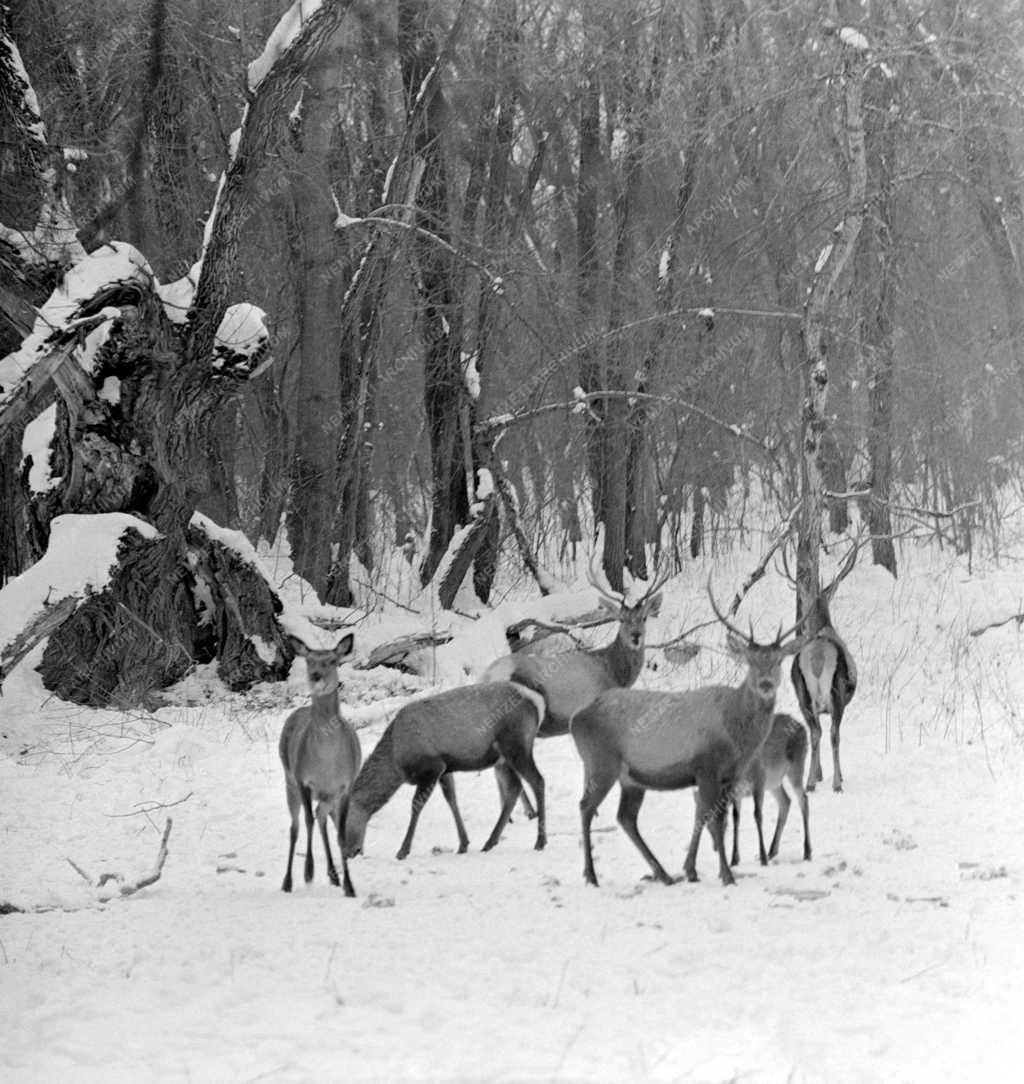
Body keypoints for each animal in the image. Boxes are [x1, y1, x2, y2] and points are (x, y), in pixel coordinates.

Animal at [277, 633, 361, 893]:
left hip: (327, 795)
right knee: (296, 827)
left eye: (333, 661)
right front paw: (308, 872)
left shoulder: (346, 785)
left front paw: (349, 886)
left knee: (321, 817)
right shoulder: (303, 780)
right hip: (289, 781)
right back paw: (288, 881)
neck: (326, 762)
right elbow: (307, 823)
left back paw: (334, 875)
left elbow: (340, 834)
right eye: (309, 661)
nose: (315, 677)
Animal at [344, 680, 548, 858]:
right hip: (503, 758)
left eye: (342, 822)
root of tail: (538, 701)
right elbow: (452, 800)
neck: (397, 764)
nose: (350, 853)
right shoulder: (445, 768)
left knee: (537, 781)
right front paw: (463, 844)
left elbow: (416, 806)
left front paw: (403, 851)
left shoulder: (432, 767)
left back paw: (540, 841)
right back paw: (490, 842)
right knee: (514, 787)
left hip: (516, 745)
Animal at [572, 585, 801, 888]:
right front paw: (726, 874)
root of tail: (576, 718)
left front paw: (692, 870)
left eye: (778, 661)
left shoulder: (731, 774)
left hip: (630, 777)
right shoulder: (706, 767)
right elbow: (714, 820)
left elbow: (709, 817)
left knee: (625, 817)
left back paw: (663, 873)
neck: (737, 737)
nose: (766, 684)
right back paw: (591, 875)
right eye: (750, 662)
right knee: (586, 807)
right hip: (601, 762)